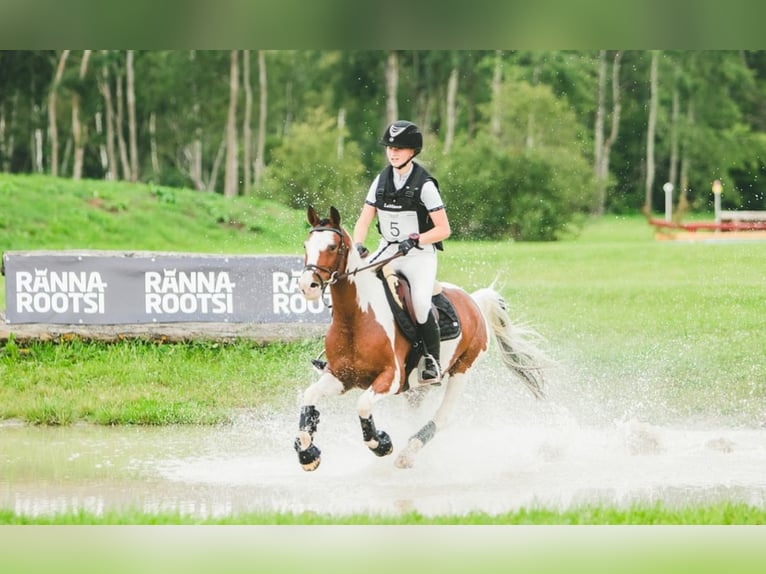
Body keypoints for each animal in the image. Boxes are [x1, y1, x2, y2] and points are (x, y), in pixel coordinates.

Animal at [296, 207, 552, 472]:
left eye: (332, 247)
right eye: (306, 245)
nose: (308, 286)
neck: (355, 319)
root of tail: (474, 300)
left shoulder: (391, 378)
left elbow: (363, 404)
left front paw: (381, 443)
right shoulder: (340, 377)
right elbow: (309, 397)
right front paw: (307, 453)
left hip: (462, 368)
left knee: (443, 416)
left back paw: (408, 452)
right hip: (417, 387)